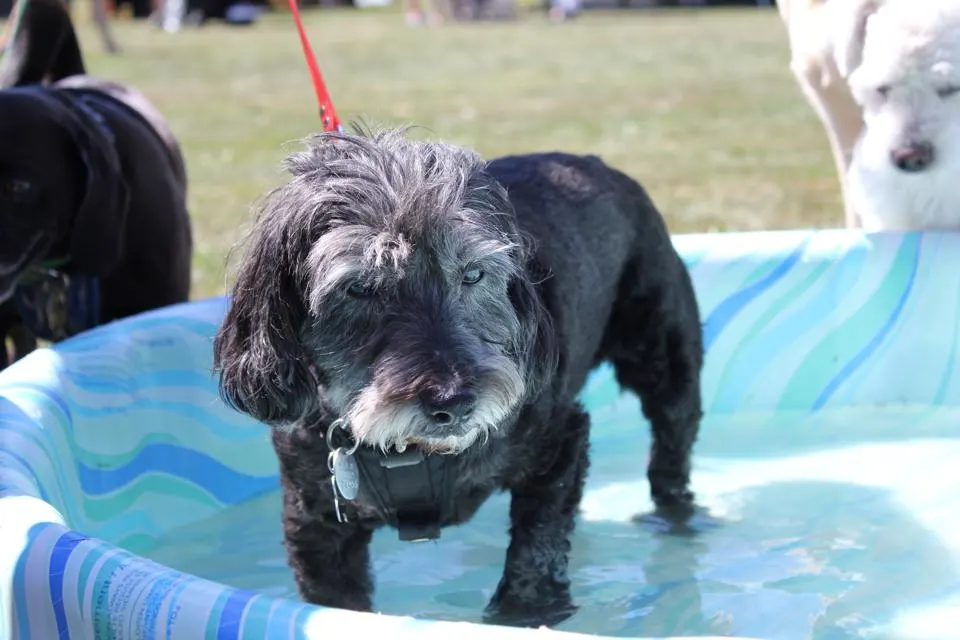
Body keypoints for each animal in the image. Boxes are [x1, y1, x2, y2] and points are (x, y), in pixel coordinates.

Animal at [212, 127, 704, 628]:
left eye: (472, 273)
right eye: (359, 287)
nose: (456, 400)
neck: (411, 451)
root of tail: (592, 161)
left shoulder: (561, 438)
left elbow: (538, 540)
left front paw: (525, 609)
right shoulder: (315, 517)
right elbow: (333, 598)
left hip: (665, 358)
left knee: (671, 444)